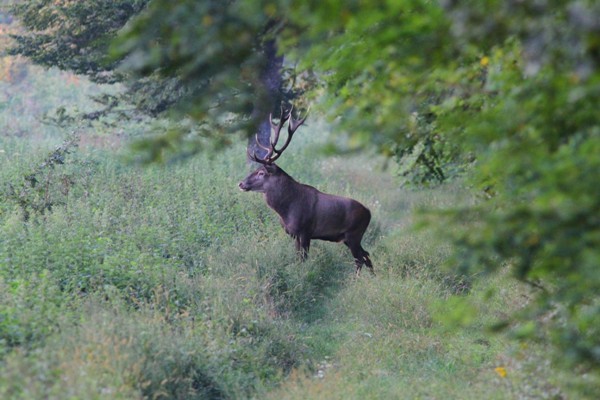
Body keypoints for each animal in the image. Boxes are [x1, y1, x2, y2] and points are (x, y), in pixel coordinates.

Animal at [239, 108, 376, 276]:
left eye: (261, 172)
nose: (241, 183)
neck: (286, 210)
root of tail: (368, 212)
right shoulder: (294, 235)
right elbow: (297, 258)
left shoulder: (305, 231)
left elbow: (303, 260)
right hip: (350, 238)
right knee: (367, 255)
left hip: (354, 234)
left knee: (360, 259)